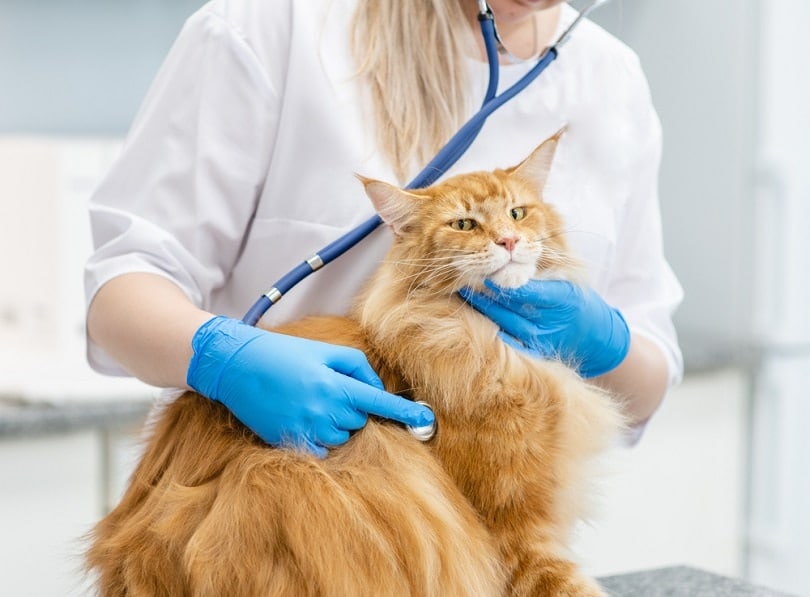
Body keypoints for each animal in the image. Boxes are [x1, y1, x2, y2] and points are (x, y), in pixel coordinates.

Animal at [85, 128, 620, 592]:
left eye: (518, 212)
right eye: (464, 224)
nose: (508, 241)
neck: (483, 342)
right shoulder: (516, 530)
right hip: (294, 468)